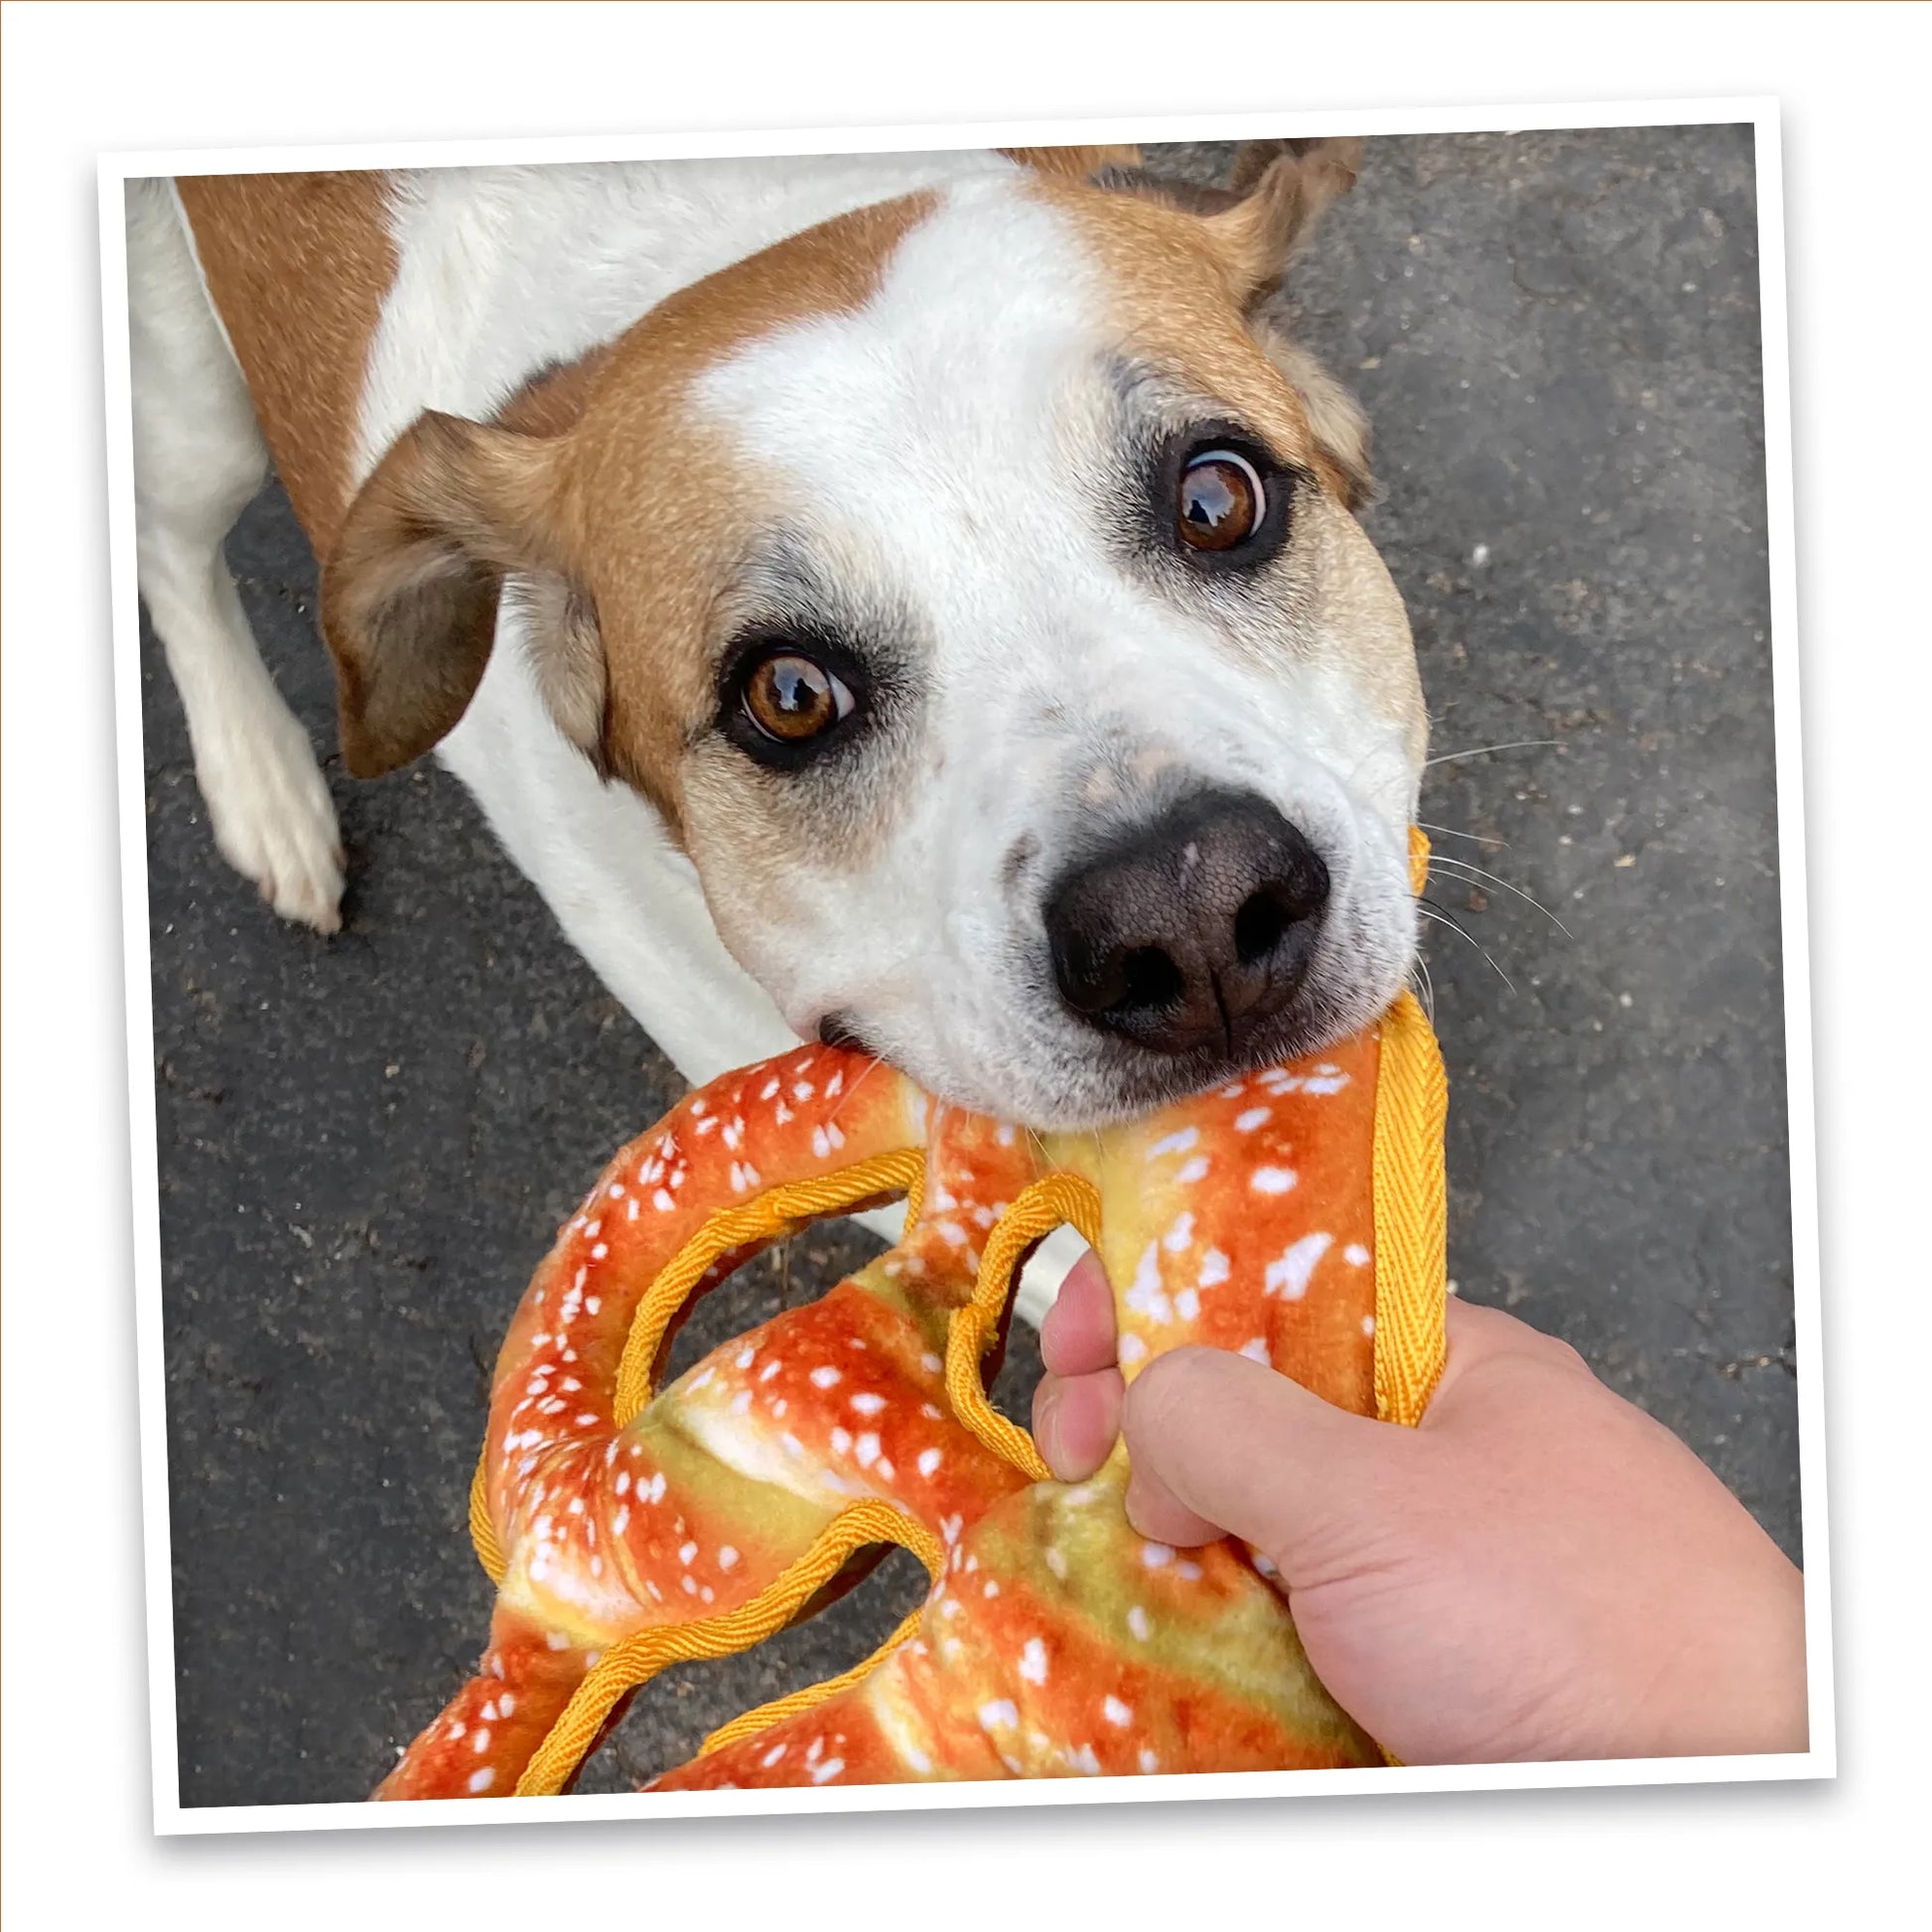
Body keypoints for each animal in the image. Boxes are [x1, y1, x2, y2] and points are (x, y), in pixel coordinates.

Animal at [120, 140, 1422, 1159]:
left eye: (1216, 499)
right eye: (788, 694)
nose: (1189, 915)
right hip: (197, 408)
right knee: (169, 551)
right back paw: (266, 793)